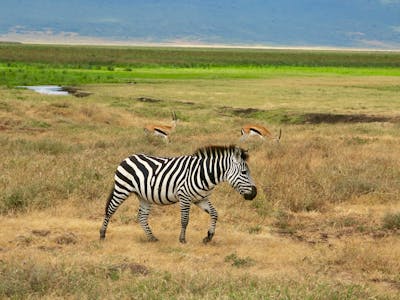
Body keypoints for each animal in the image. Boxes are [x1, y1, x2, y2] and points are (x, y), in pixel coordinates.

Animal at [99, 145, 256, 244]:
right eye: (244, 172)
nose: (254, 194)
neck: (204, 174)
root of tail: (127, 158)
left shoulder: (201, 199)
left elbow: (214, 213)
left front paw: (209, 237)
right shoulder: (184, 197)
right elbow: (185, 220)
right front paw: (182, 239)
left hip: (143, 196)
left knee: (142, 217)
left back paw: (152, 238)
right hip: (122, 189)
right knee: (110, 210)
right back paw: (102, 234)